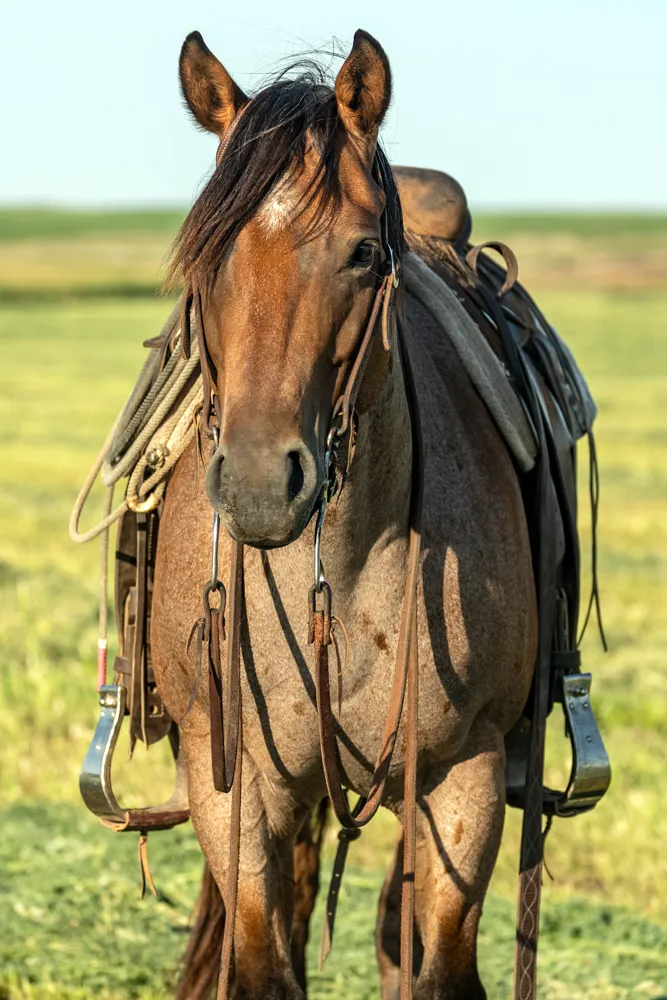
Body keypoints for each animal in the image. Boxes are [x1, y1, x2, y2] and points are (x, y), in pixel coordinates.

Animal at [151, 29, 536, 1000]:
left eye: (363, 253)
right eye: (204, 253)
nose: (258, 484)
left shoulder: (465, 779)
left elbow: (437, 964)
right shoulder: (234, 783)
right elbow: (262, 960)